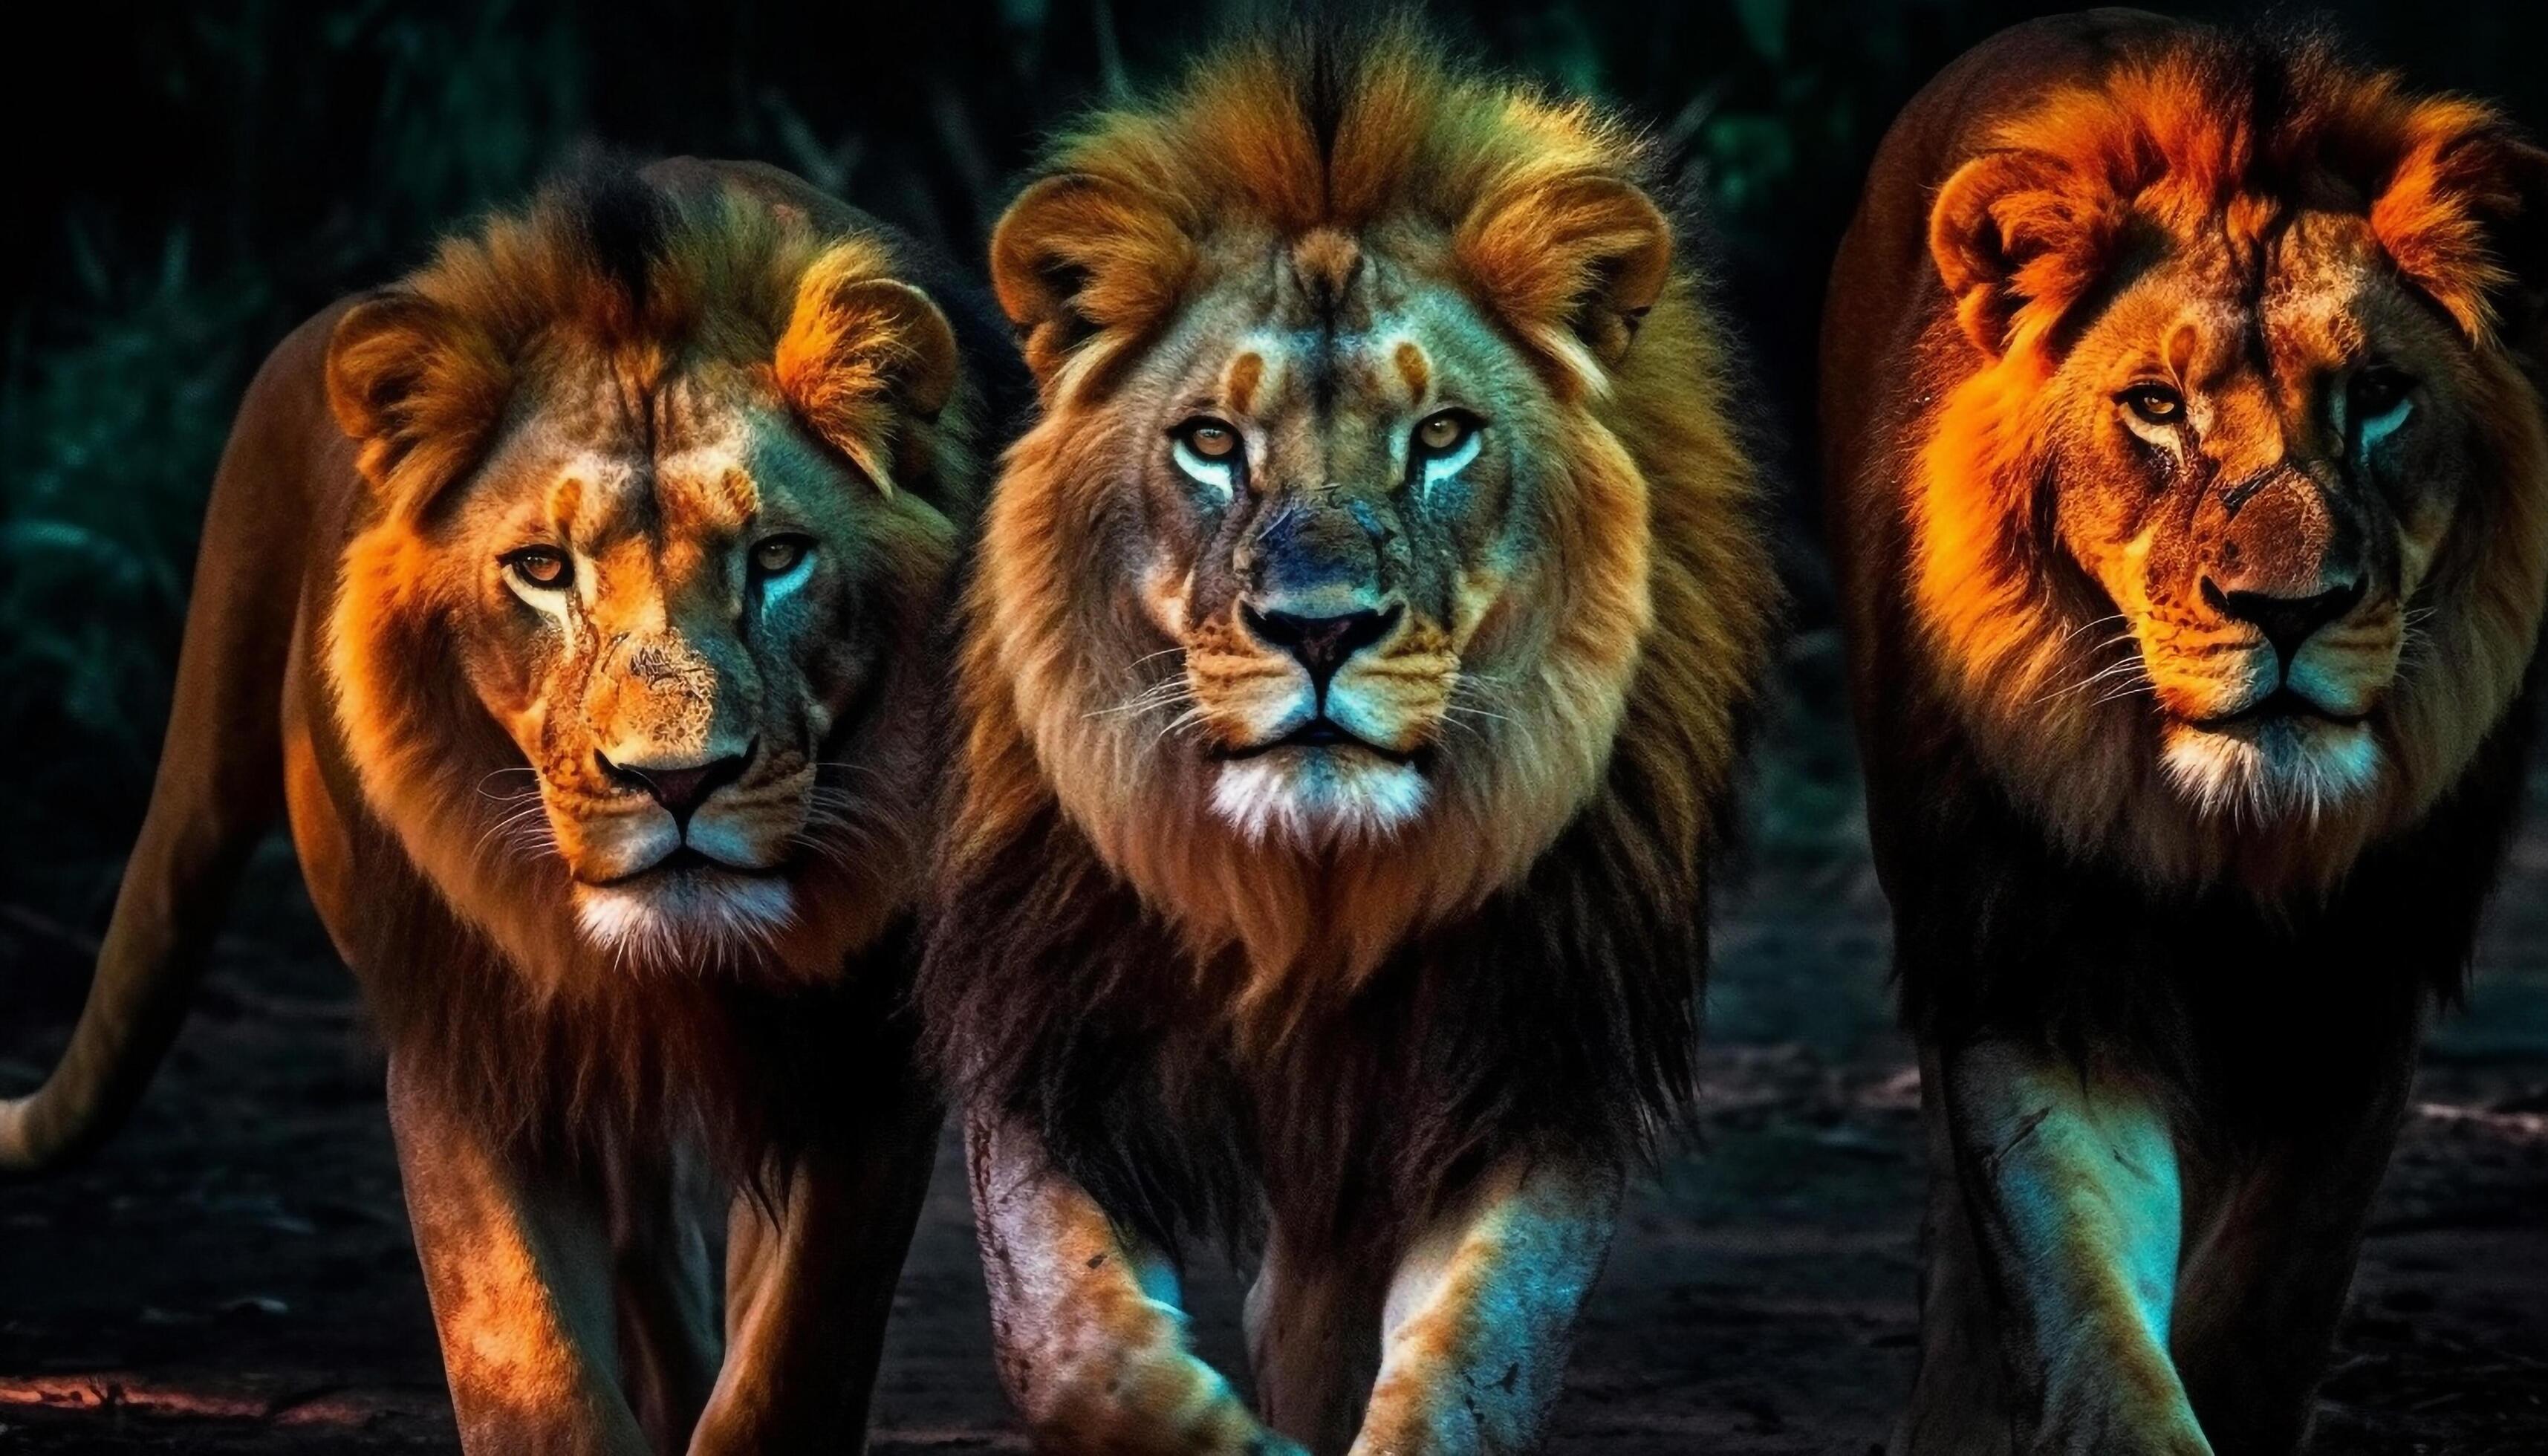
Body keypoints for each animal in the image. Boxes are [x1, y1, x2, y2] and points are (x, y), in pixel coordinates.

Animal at [0, 158, 1015, 1454]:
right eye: (542, 570)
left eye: (779, 558)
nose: (676, 782)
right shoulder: (464, 1044)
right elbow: (530, 1366)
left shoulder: (859, 1071)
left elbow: (792, 1362)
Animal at [918, 21, 1780, 1456]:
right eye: (1211, 442)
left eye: (1442, 437)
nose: (1319, 630)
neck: (1308, 895)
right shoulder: (1050, 1028)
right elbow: (1077, 1351)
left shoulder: (1538, 1050)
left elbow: (1474, 1364)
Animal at [1822, 12, 2548, 1453]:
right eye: (2156, 406)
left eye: (2378, 396)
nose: (2289, 609)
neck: (2235, 835)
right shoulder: (2029, 960)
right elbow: (2082, 1306)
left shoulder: (2362, 997)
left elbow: (2265, 1316)